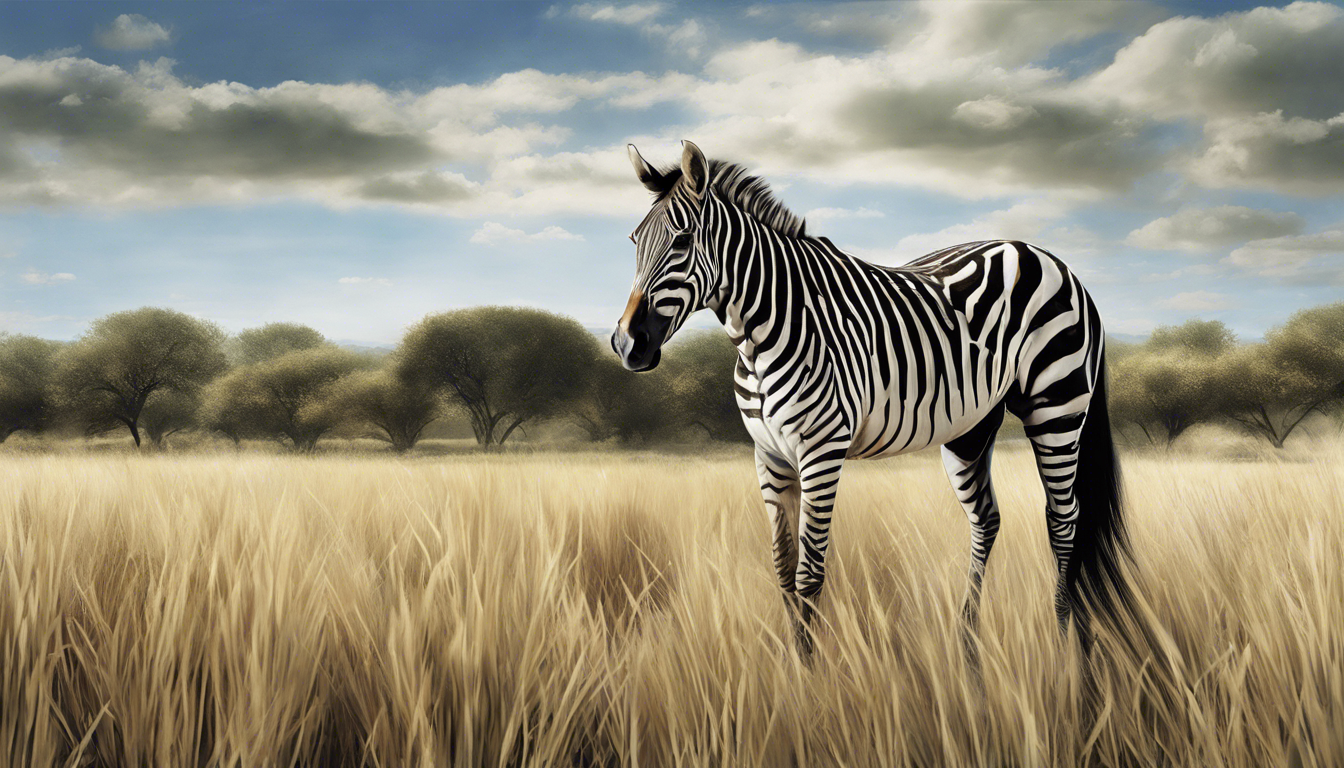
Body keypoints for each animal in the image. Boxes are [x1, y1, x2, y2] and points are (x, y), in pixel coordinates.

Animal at [610, 140, 1133, 657]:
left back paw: (1061, 639)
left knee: (1063, 519)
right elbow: (782, 568)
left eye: (682, 241)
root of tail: (1050, 258)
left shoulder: (821, 450)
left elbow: (809, 573)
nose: (626, 344)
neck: (761, 334)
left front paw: (813, 671)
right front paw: (790, 665)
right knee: (987, 518)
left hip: (1058, 406)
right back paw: (967, 639)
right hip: (972, 427)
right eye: (634, 241)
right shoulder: (769, 455)